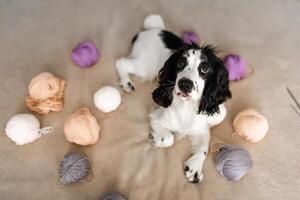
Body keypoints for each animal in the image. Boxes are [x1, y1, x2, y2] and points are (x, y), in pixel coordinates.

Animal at [116, 14, 231, 184]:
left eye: (205, 68)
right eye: (180, 63)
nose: (185, 84)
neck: (186, 107)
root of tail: (152, 30)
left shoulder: (201, 128)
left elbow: (204, 147)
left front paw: (195, 168)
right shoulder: (157, 117)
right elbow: (169, 138)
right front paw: (156, 139)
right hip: (144, 66)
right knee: (121, 63)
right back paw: (126, 82)